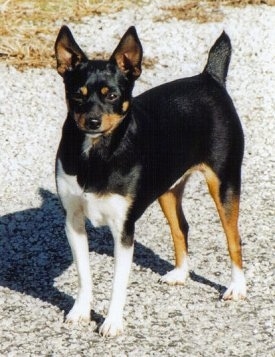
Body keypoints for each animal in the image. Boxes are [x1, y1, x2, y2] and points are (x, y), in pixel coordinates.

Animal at [54, 26, 248, 336]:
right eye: (77, 95)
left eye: (112, 95)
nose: (92, 121)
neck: (97, 154)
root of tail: (209, 77)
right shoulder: (73, 222)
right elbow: (84, 275)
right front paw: (81, 312)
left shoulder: (123, 231)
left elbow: (118, 284)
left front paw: (112, 322)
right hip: (167, 190)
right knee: (181, 228)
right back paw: (180, 274)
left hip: (224, 185)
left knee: (234, 239)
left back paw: (237, 287)